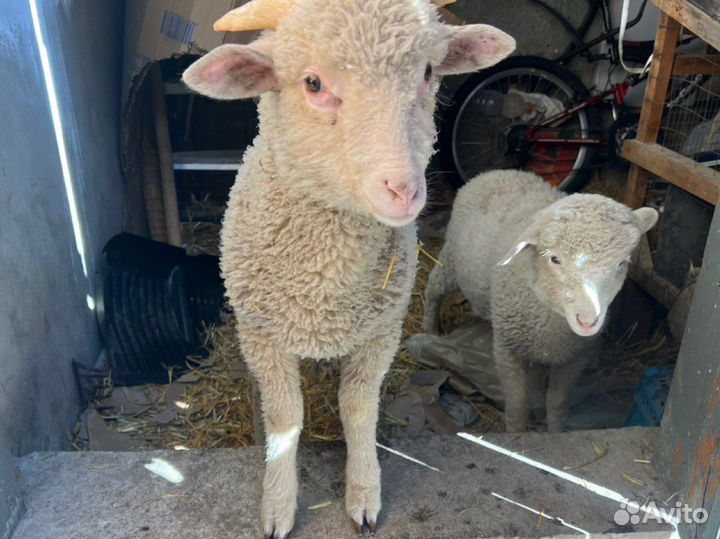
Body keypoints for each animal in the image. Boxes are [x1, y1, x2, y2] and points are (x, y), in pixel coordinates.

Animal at [181, 1, 515, 536]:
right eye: (313, 83)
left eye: (428, 72)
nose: (404, 190)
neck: (327, 280)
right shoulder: (263, 336)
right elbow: (285, 416)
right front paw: (278, 504)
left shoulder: (382, 332)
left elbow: (358, 409)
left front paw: (363, 493)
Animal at [423, 170, 658, 433]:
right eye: (554, 259)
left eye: (622, 263)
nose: (588, 321)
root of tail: (495, 172)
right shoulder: (507, 349)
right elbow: (517, 405)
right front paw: (515, 433)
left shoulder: (574, 358)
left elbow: (557, 403)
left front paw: (555, 431)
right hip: (451, 260)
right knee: (433, 290)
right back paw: (429, 331)